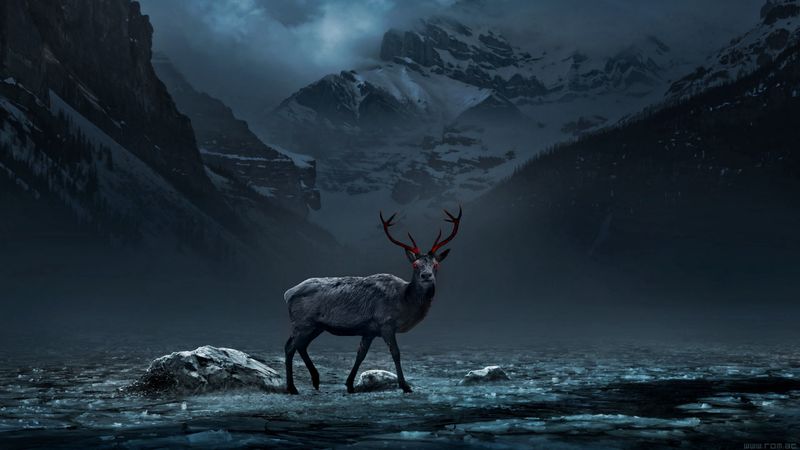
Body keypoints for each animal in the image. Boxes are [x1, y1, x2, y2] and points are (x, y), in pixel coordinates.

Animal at [282, 207, 462, 394]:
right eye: (415, 265)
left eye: (436, 265)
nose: (426, 275)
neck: (404, 302)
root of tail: (288, 293)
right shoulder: (386, 323)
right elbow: (396, 353)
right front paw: (405, 386)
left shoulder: (369, 330)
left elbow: (360, 354)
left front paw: (350, 384)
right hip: (302, 322)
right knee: (290, 347)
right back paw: (294, 387)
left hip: (316, 326)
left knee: (300, 345)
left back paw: (314, 380)